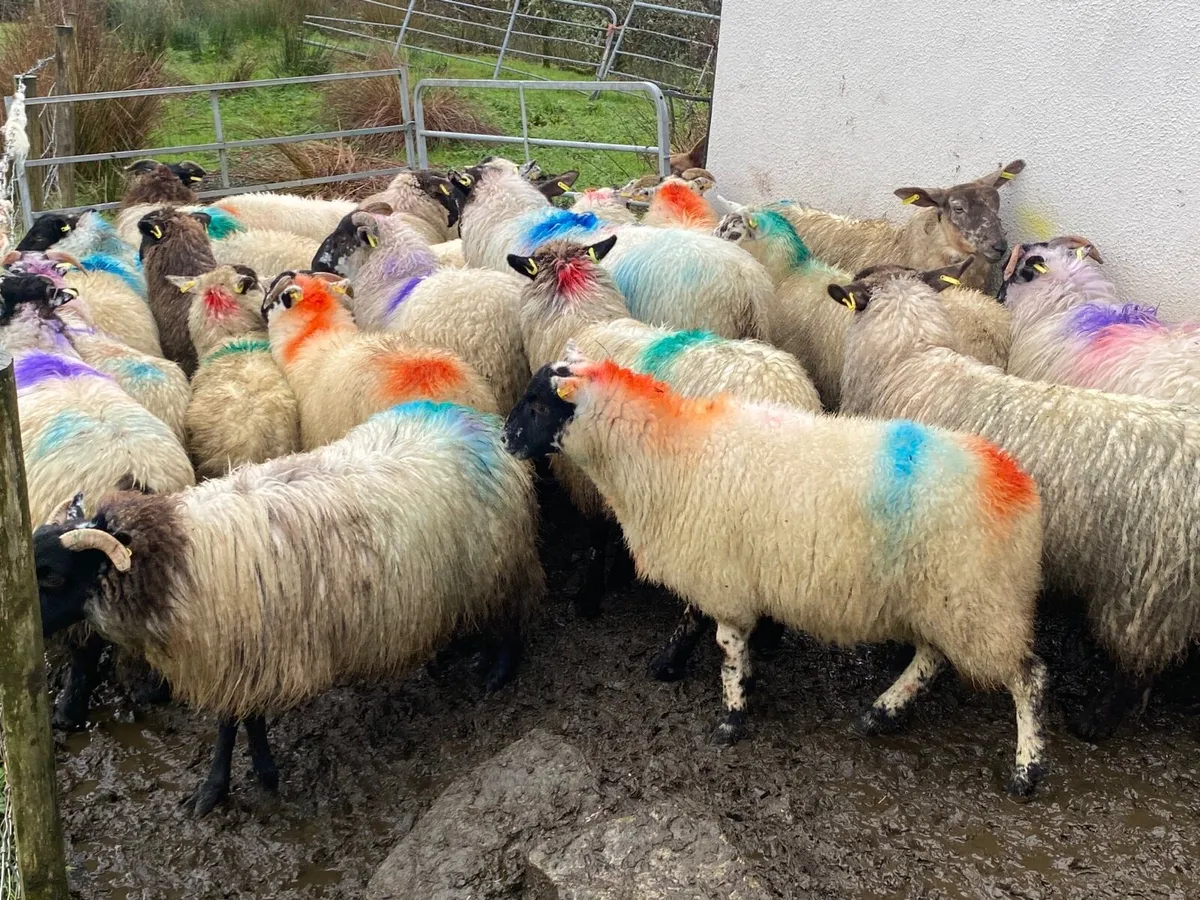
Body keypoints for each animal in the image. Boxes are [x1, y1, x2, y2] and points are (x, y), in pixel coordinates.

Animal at [33, 397, 545, 815]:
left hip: (502, 561)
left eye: (54, 576)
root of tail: (482, 423)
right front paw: (260, 770)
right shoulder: (249, 655)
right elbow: (249, 719)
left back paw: (498, 672)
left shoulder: (244, 652)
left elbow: (231, 723)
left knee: (513, 615)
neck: (178, 557)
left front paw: (218, 788)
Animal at [503, 346, 1048, 797]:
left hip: (980, 599)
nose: (506, 439)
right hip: (946, 599)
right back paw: (881, 712)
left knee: (1028, 678)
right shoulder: (712, 566)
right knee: (932, 657)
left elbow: (724, 646)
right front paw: (679, 667)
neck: (665, 450)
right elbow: (694, 619)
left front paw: (731, 717)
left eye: (537, 405)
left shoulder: (719, 574)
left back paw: (1026, 771)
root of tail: (1017, 485)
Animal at [510, 235, 821, 627]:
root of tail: (789, 393)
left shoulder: (586, 473)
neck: (579, 323)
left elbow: (598, 535)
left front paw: (590, 596)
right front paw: (621, 573)